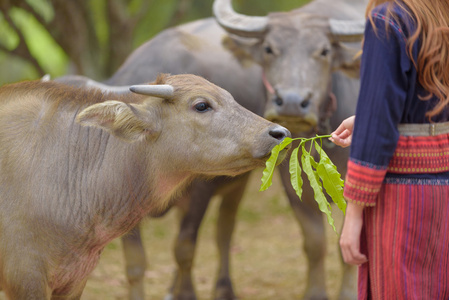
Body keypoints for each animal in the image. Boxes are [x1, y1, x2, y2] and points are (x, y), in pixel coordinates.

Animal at [74, 0, 364, 298]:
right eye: (269, 49)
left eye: (325, 51)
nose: (292, 102)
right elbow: (135, 263)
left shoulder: (202, 190)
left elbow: (184, 248)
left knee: (224, 230)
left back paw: (223, 287)